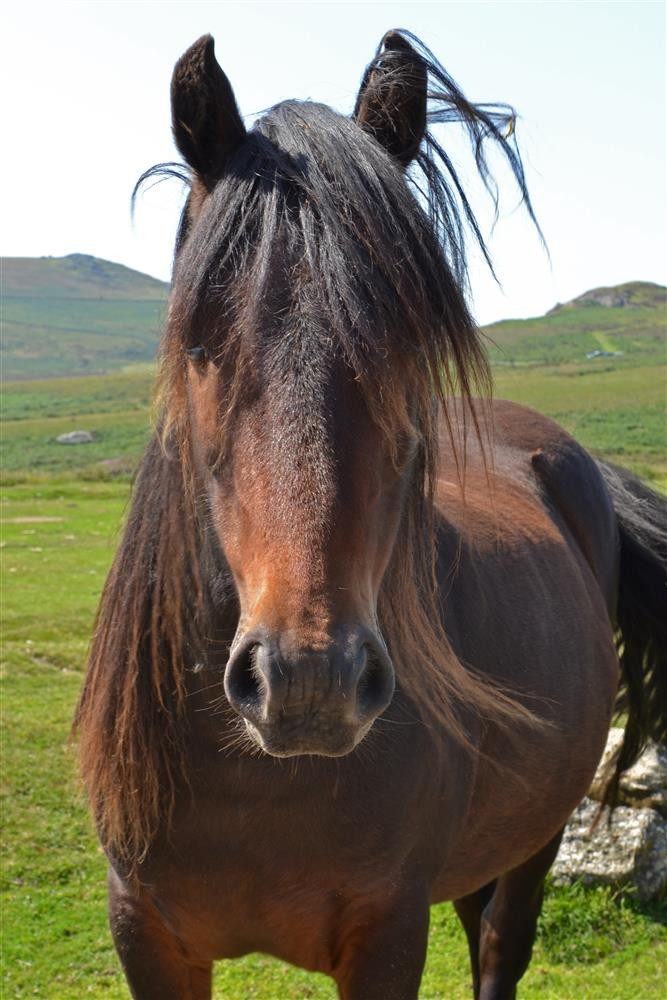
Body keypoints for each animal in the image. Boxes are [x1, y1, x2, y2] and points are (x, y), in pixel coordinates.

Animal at [75, 30, 667, 1000]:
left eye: (406, 346)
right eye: (196, 345)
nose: (307, 680)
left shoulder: (387, 930)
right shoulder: (147, 935)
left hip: (538, 835)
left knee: (499, 944)